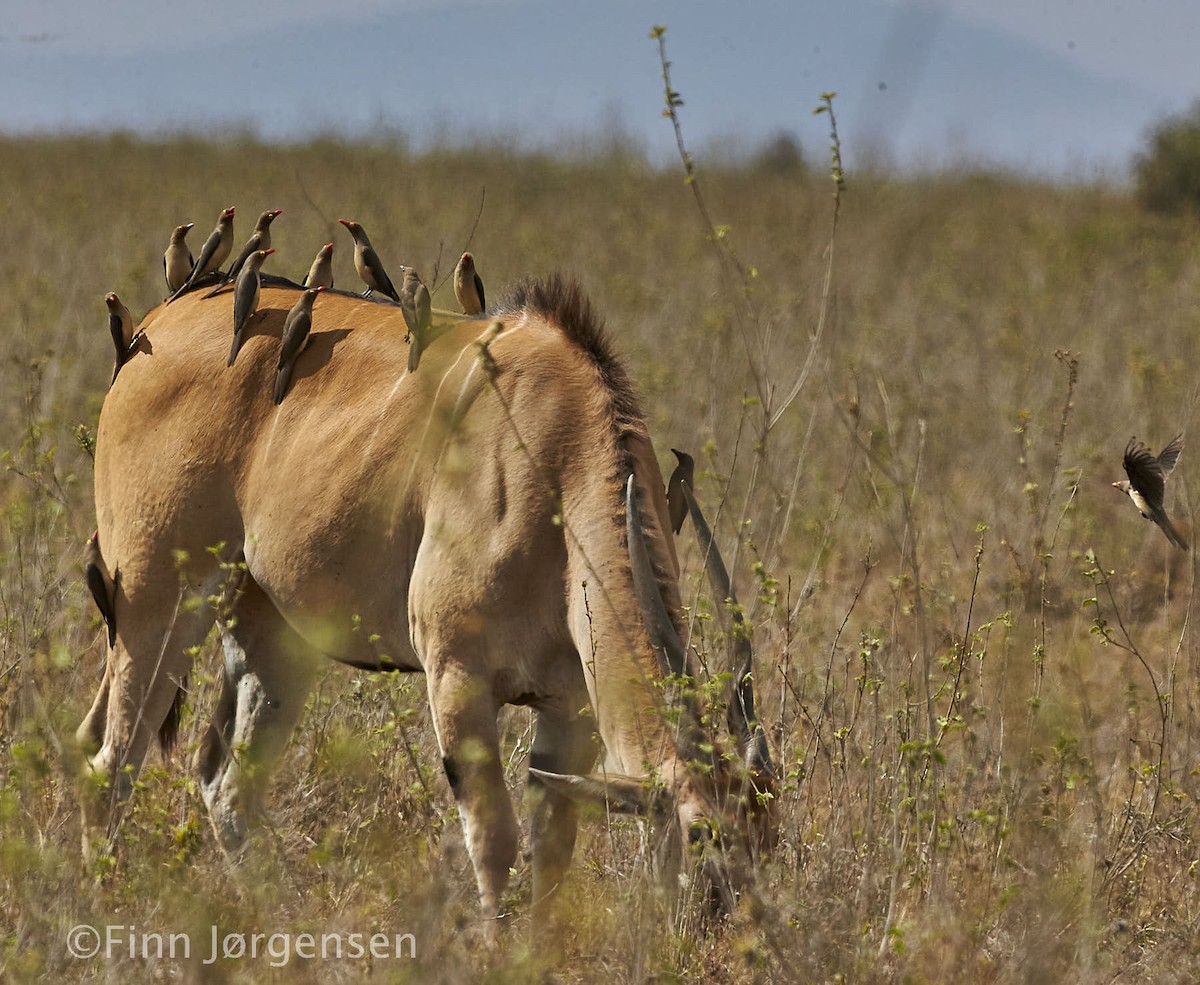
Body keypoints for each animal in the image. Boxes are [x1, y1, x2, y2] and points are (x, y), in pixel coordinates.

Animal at [75, 274, 772, 921]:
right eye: (701, 832)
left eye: (766, 828)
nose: (740, 925)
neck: (557, 455)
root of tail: (153, 328)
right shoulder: (457, 677)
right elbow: (494, 842)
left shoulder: (568, 711)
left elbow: (550, 853)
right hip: (156, 607)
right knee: (109, 765)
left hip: (272, 642)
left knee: (223, 785)